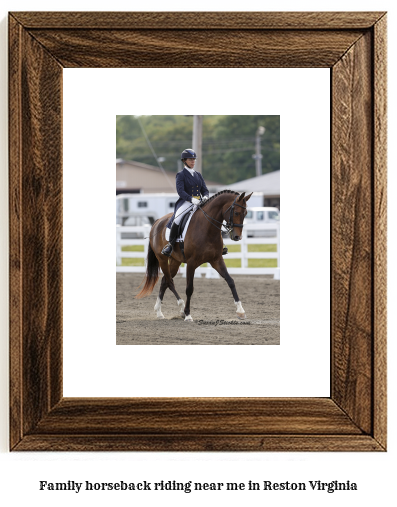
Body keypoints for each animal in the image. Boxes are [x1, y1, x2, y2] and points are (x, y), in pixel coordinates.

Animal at [136, 190, 252, 322]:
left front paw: (240, 311)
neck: (207, 228)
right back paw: (179, 308)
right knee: (169, 281)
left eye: (245, 213)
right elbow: (189, 288)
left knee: (165, 280)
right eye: (236, 212)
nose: (237, 237)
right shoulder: (191, 263)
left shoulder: (216, 260)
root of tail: (157, 221)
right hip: (162, 259)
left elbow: (230, 281)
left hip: (175, 261)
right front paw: (188, 315)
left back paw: (160, 312)